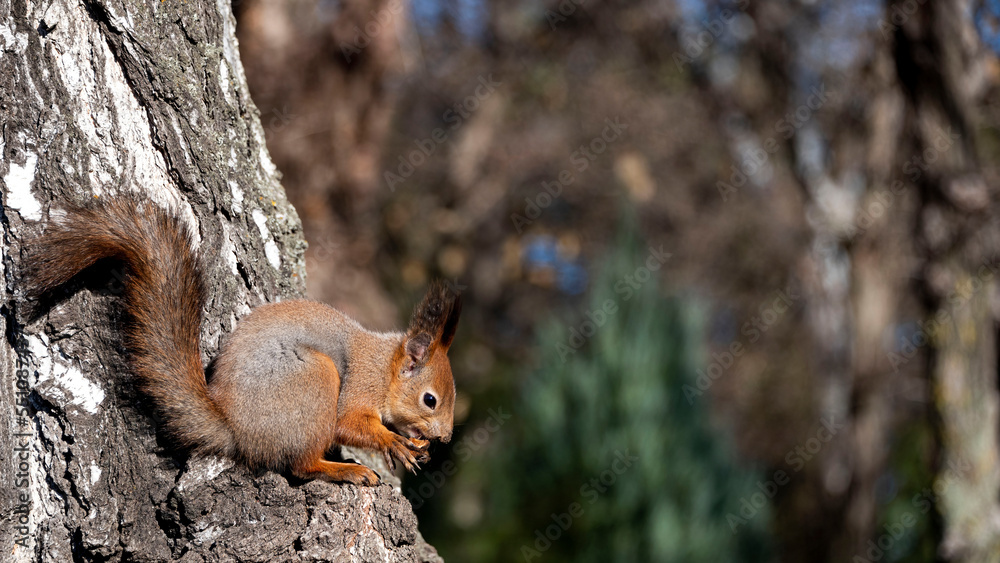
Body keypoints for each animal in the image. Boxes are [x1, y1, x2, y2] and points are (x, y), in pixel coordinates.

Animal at [25, 195, 461, 486]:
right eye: (430, 400)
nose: (444, 437)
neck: (386, 367)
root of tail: (237, 428)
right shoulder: (360, 384)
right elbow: (348, 424)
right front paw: (394, 442)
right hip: (315, 380)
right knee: (302, 465)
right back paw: (344, 469)